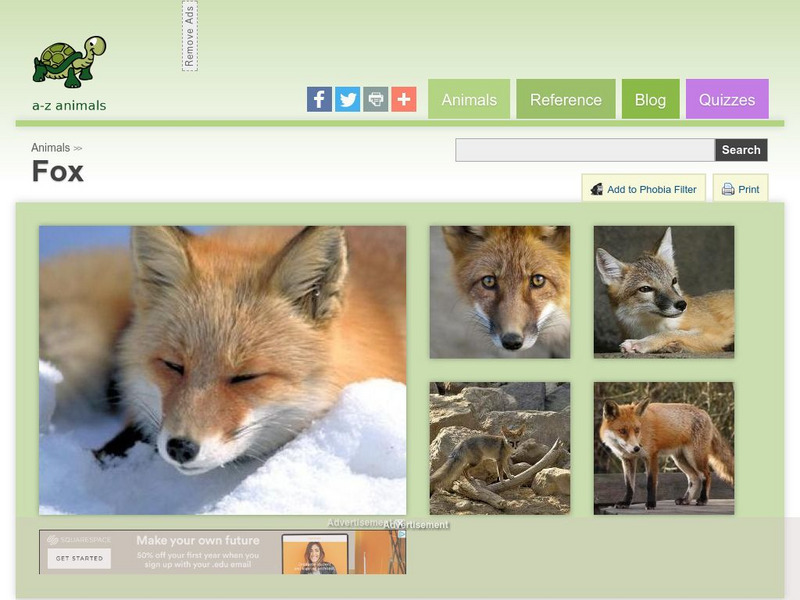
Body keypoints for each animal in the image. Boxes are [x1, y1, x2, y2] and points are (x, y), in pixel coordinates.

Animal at [596, 227, 734, 354]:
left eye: (673, 281)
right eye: (645, 289)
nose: (682, 304)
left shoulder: (716, 333)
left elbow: (670, 332)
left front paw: (642, 343)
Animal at [599, 398, 734, 510]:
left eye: (637, 430)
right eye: (622, 431)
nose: (637, 448)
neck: (642, 433)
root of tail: (705, 413)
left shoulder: (651, 456)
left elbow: (650, 483)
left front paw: (651, 504)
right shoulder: (628, 459)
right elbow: (629, 486)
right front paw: (626, 503)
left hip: (694, 457)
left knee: (706, 475)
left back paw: (703, 499)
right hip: (680, 460)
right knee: (694, 478)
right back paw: (686, 500)